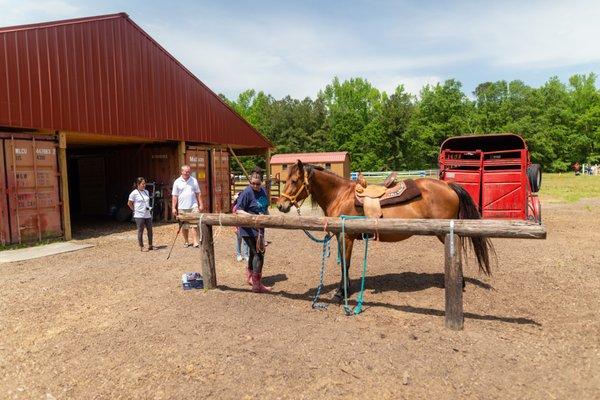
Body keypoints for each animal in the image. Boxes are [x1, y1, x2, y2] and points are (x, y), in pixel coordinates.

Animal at [276, 161, 492, 302]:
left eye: (294, 180)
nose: (280, 205)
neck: (340, 195)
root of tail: (449, 185)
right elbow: (345, 263)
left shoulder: (346, 236)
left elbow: (345, 264)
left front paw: (341, 293)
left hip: (445, 232)